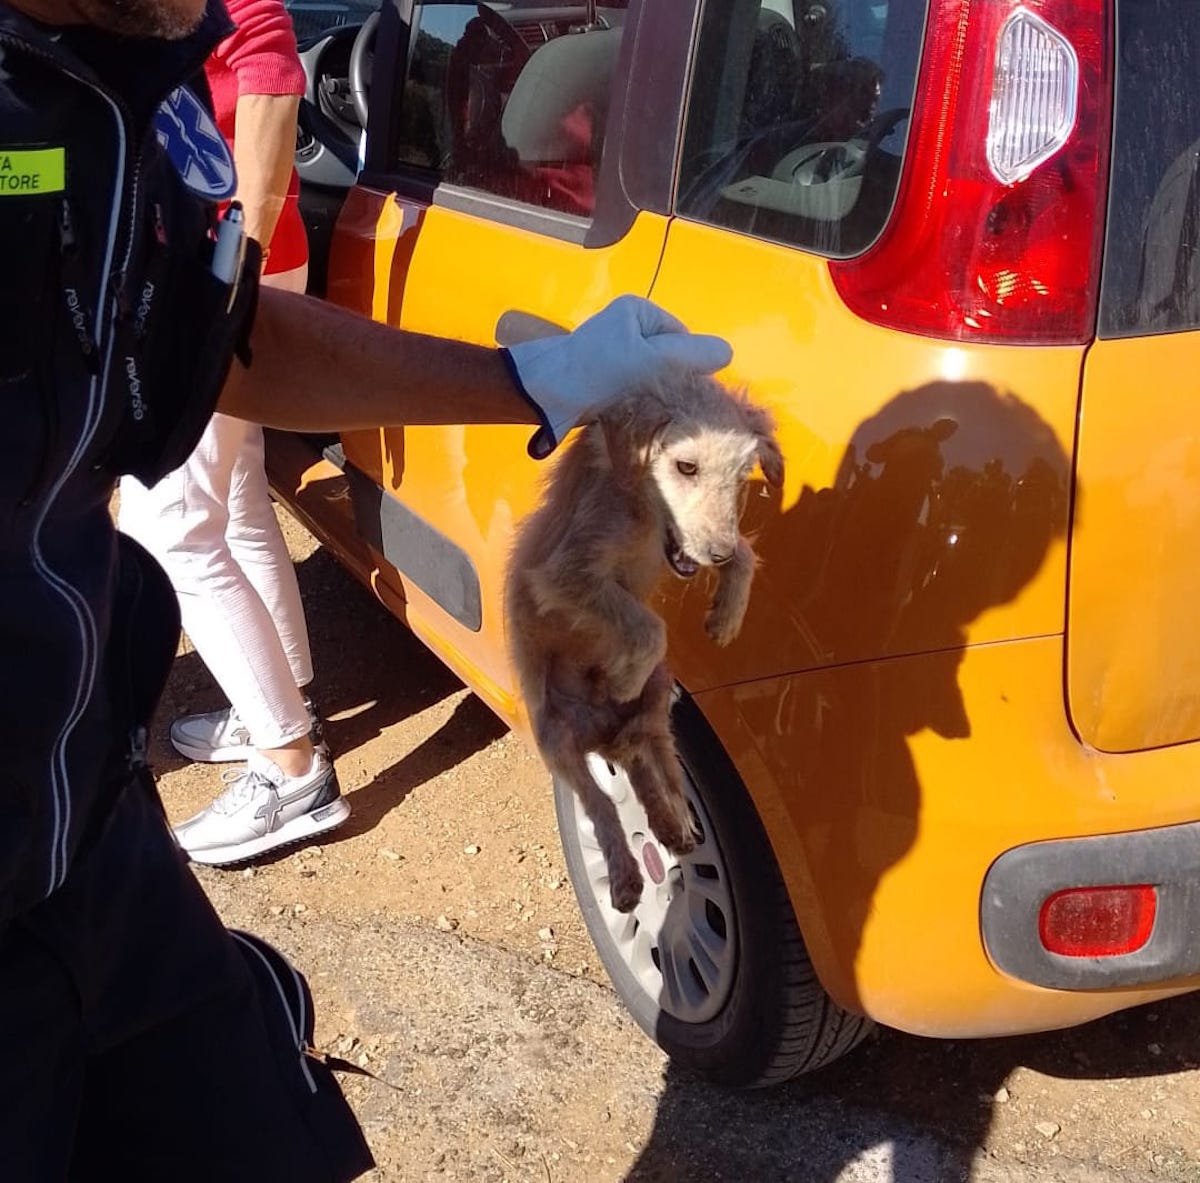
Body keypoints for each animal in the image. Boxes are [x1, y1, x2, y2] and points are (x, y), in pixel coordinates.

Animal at [501, 374, 782, 907]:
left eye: (741, 476)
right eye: (686, 466)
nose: (714, 553)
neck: (642, 512)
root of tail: (605, 737)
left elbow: (746, 552)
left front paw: (726, 617)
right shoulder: (566, 575)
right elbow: (649, 626)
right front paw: (621, 677)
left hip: (658, 704)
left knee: (656, 771)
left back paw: (676, 828)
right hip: (556, 738)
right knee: (602, 807)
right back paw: (627, 877)